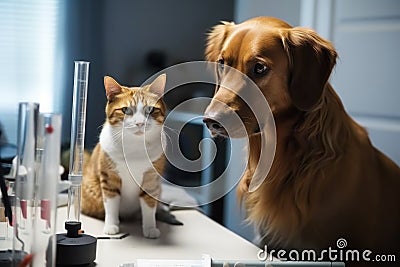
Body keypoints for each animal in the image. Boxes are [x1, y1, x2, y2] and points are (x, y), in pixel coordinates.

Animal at [82, 73, 166, 239]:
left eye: (151, 109)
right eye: (125, 110)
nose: (140, 123)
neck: (135, 147)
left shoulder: (151, 181)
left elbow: (149, 206)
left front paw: (150, 227)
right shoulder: (109, 178)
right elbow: (111, 205)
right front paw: (111, 226)